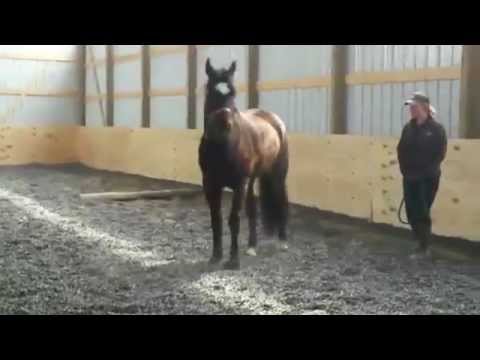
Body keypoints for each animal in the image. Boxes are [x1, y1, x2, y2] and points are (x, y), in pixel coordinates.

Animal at [198, 57, 288, 268]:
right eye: (210, 89)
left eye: (232, 91)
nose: (224, 126)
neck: (222, 147)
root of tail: (274, 119)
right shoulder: (210, 183)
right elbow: (216, 219)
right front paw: (216, 256)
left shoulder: (239, 183)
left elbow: (234, 219)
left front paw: (233, 260)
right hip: (253, 179)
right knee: (252, 208)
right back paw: (252, 246)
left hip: (277, 175)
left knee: (281, 199)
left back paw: (282, 241)